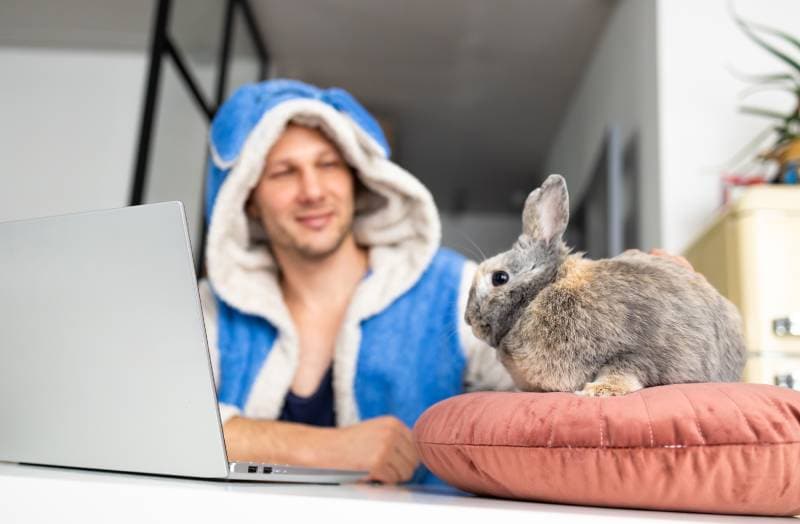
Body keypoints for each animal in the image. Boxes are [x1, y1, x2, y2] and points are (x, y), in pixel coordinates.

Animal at [464, 174, 746, 396]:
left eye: (499, 278)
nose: (468, 320)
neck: (543, 290)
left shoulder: (640, 349)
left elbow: (625, 369)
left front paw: (598, 391)